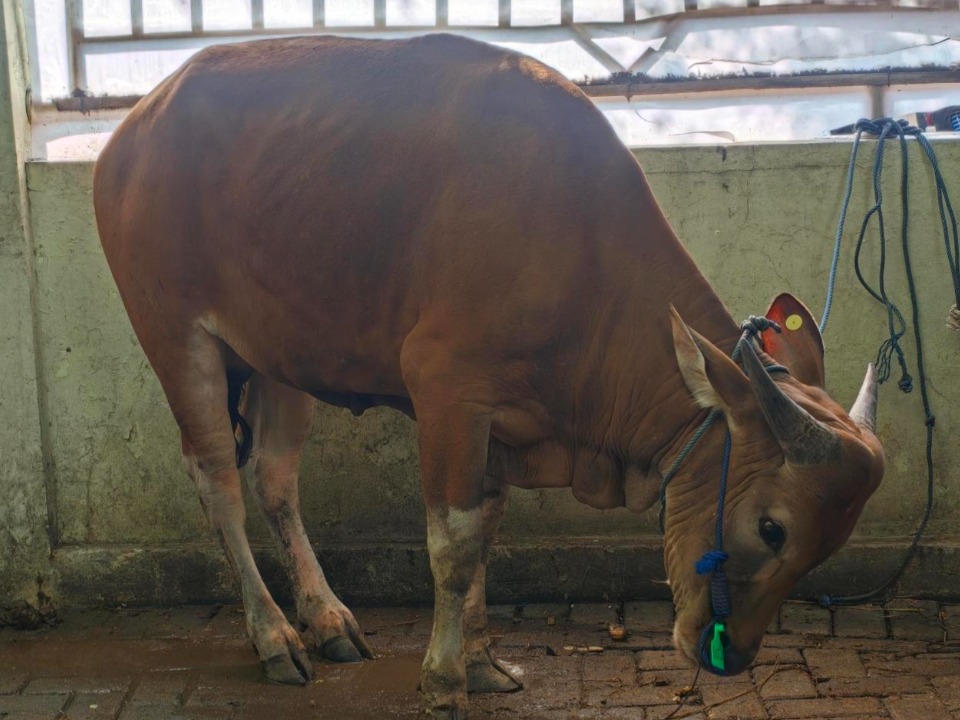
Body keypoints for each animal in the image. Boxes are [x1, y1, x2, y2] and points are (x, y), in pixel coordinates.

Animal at [92, 34, 884, 719]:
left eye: (827, 546)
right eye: (773, 528)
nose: (732, 657)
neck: (580, 253)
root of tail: (136, 125)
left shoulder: (503, 424)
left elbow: (485, 534)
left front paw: (479, 661)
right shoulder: (447, 393)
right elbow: (453, 545)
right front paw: (444, 681)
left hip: (278, 353)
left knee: (275, 477)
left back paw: (328, 620)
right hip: (177, 338)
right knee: (219, 483)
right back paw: (274, 638)